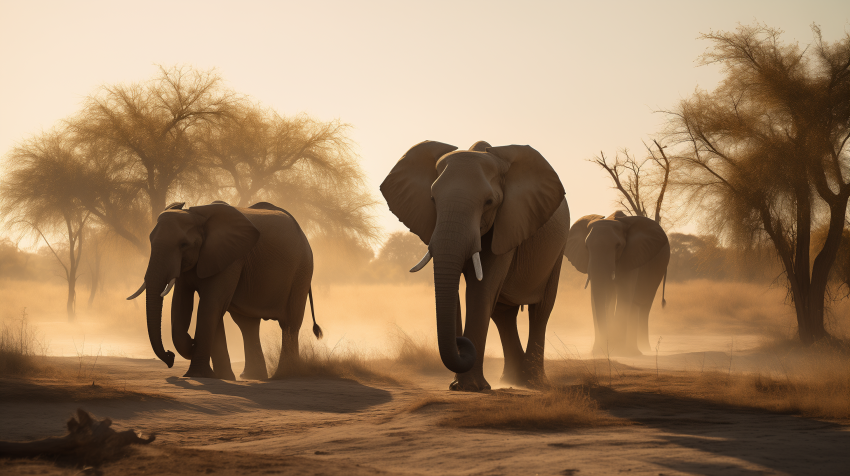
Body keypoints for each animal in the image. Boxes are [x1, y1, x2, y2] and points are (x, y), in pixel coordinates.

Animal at [127, 201, 322, 380]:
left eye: (183, 244)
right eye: (151, 242)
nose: (170, 356)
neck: (198, 216)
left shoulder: (231, 258)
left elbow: (210, 306)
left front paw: (199, 374)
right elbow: (182, 305)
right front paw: (219, 375)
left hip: (302, 272)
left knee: (289, 323)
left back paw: (284, 375)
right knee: (247, 325)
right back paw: (252, 376)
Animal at [381, 140, 569, 391]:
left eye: (489, 202)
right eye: (432, 200)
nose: (460, 342)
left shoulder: (506, 224)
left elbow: (481, 289)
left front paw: (471, 388)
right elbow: (458, 294)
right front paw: (458, 386)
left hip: (558, 248)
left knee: (541, 310)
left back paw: (532, 382)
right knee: (503, 314)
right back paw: (512, 379)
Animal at [564, 211, 669, 356]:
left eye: (618, 246)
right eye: (586, 247)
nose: (607, 345)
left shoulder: (632, 256)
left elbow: (624, 295)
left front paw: (617, 350)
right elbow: (597, 298)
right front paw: (600, 351)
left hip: (658, 268)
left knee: (642, 303)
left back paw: (641, 350)